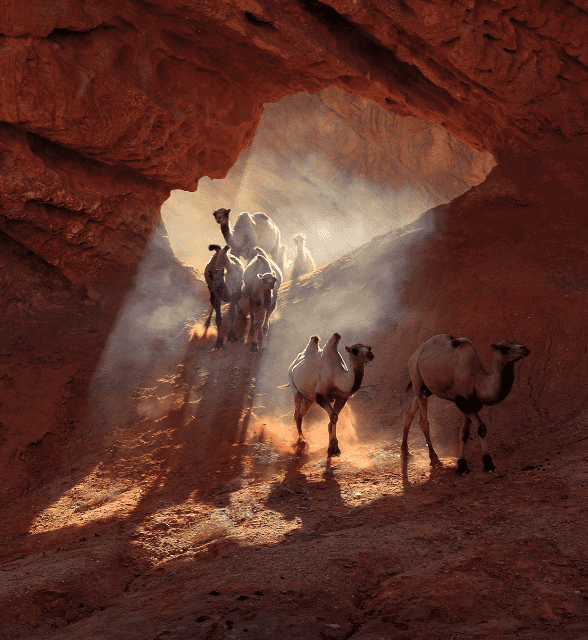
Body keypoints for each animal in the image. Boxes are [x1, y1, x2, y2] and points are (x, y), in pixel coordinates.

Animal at [402, 336, 532, 476]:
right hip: (417, 379)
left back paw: (405, 451)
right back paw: (434, 459)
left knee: (408, 412)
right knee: (424, 421)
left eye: (515, 342)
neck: (478, 381)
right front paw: (488, 464)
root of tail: (414, 355)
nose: (525, 348)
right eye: (504, 348)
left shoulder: (472, 404)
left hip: (426, 388)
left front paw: (462, 465)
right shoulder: (462, 402)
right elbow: (481, 428)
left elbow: (464, 433)